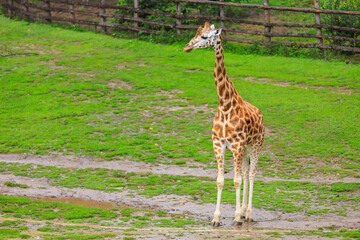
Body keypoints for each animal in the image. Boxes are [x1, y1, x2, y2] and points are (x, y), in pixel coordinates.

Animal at [186, 21, 264, 226]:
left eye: (205, 37)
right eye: (196, 33)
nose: (187, 47)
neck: (225, 104)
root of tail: (261, 115)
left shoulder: (236, 145)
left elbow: (236, 181)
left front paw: (235, 217)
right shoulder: (219, 144)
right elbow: (220, 180)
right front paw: (216, 218)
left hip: (256, 145)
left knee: (251, 174)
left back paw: (248, 214)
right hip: (244, 149)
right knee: (245, 171)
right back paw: (243, 211)